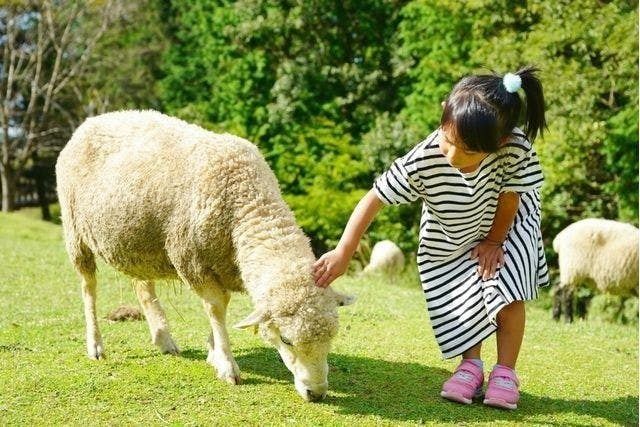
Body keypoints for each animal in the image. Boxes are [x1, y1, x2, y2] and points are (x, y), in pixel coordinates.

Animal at [55, 109, 356, 402]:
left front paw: (213, 351)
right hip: (75, 232)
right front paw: (226, 364)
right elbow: (216, 308)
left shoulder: (225, 265)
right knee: (88, 288)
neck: (247, 198)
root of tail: (92, 120)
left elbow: (221, 308)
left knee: (142, 287)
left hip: (136, 243)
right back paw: (95, 345)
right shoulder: (192, 261)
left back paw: (164, 339)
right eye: (286, 339)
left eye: (331, 337)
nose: (316, 393)